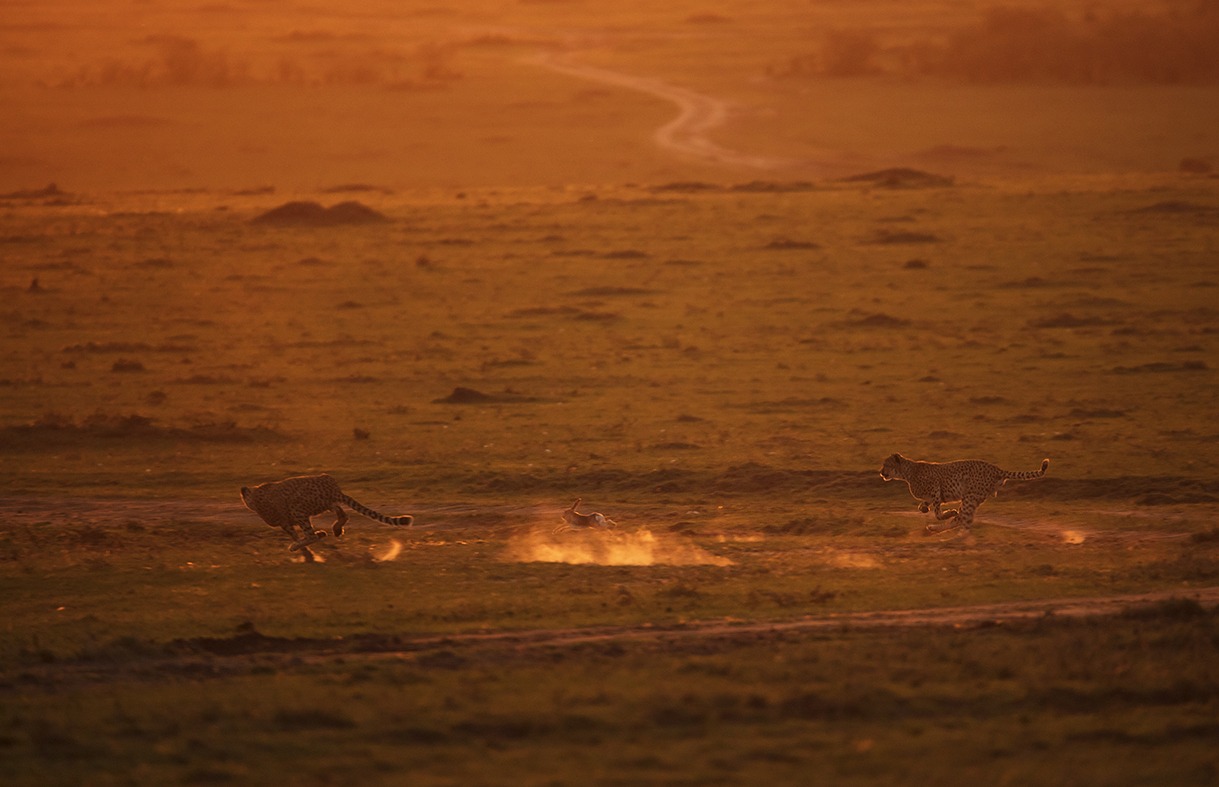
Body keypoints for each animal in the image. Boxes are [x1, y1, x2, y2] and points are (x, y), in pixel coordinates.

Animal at [237, 472, 414, 557]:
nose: (243, 489)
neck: (256, 494)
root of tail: (334, 487)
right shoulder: (288, 522)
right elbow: (299, 535)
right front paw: (315, 539)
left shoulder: (285, 521)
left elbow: (299, 535)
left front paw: (301, 547)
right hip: (325, 503)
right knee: (342, 513)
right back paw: (335, 529)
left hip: (298, 507)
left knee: (311, 535)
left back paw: (300, 544)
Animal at [877, 455, 1048, 536]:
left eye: (887, 464)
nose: (881, 472)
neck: (906, 473)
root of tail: (997, 469)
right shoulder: (932, 496)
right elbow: (924, 506)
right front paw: (926, 509)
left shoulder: (936, 489)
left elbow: (938, 513)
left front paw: (949, 512)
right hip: (973, 498)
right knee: (962, 519)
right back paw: (936, 529)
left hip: (969, 497)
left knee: (963, 521)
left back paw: (956, 536)